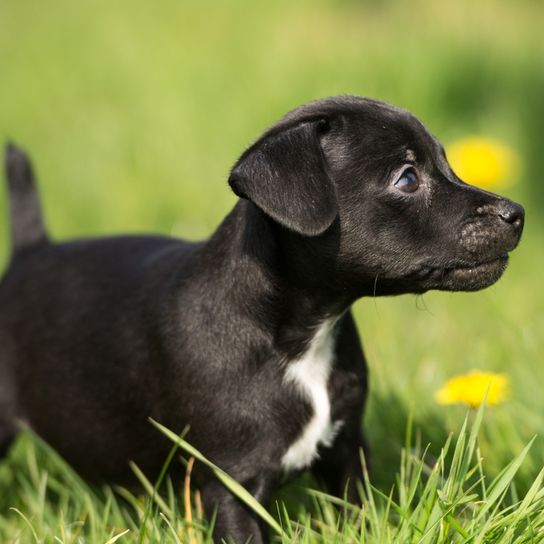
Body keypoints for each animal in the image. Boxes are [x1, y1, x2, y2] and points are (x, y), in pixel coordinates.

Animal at [0, 95, 524, 540]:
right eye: (407, 178)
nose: (516, 212)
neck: (301, 338)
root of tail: (30, 253)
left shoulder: (346, 454)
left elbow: (357, 517)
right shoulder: (231, 486)